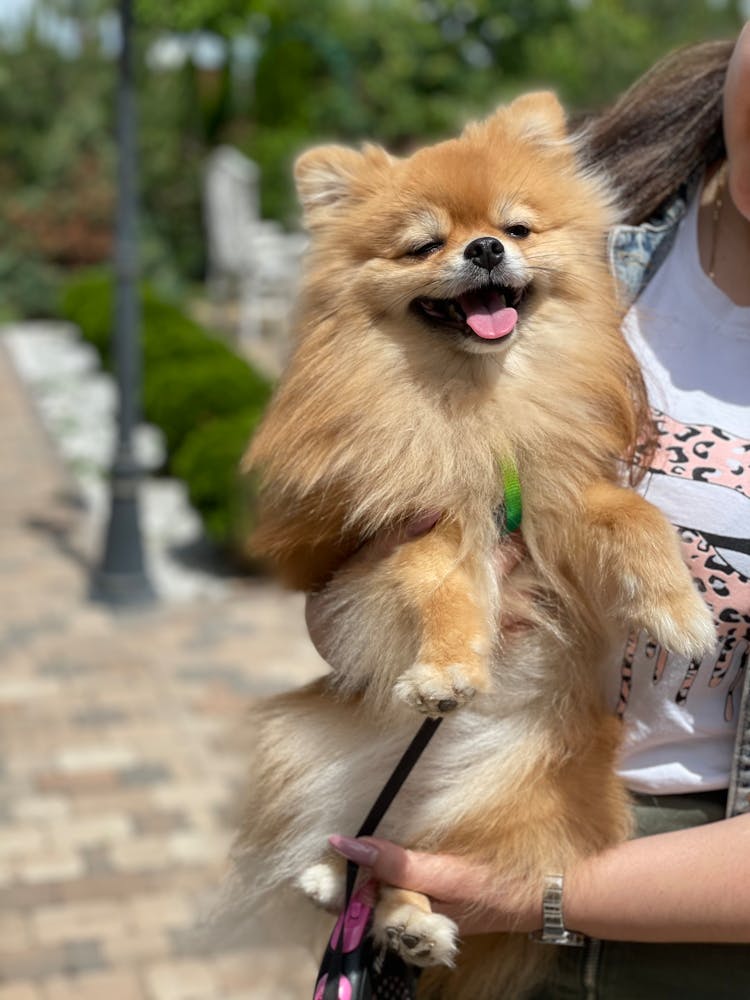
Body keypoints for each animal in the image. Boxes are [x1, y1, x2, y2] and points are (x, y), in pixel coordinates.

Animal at [231, 90, 716, 996]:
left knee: (409, 863)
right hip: (295, 741)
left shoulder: (565, 493)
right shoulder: (414, 524)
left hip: (533, 796)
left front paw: (679, 613)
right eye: (426, 244)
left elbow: (639, 520)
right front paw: (447, 670)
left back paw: (403, 918)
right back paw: (354, 888)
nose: (485, 247)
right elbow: (442, 584)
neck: (478, 408)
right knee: (360, 852)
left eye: (516, 228)